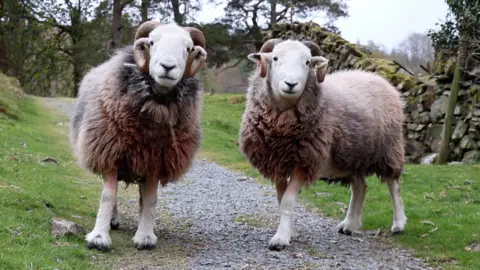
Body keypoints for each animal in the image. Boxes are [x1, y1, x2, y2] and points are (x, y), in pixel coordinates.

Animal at [70, 20, 208, 251]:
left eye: (188, 48)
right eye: (151, 42)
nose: (168, 67)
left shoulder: (156, 161)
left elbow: (151, 199)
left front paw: (145, 236)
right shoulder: (110, 153)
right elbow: (108, 196)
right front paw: (99, 237)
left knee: (144, 197)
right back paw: (113, 220)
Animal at [238, 37, 406, 251]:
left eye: (308, 62)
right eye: (274, 58)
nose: (291, 84)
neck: (282, 127)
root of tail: (379, 78)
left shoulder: (304, 161)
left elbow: (287, 201)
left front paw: (281, 239)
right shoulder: (277, 161)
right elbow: (280, 199)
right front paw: (290, 232)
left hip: (388, 149)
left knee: (394, 186)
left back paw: (399, 224)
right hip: (353, 155)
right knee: (361, 187)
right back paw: (349, 225)